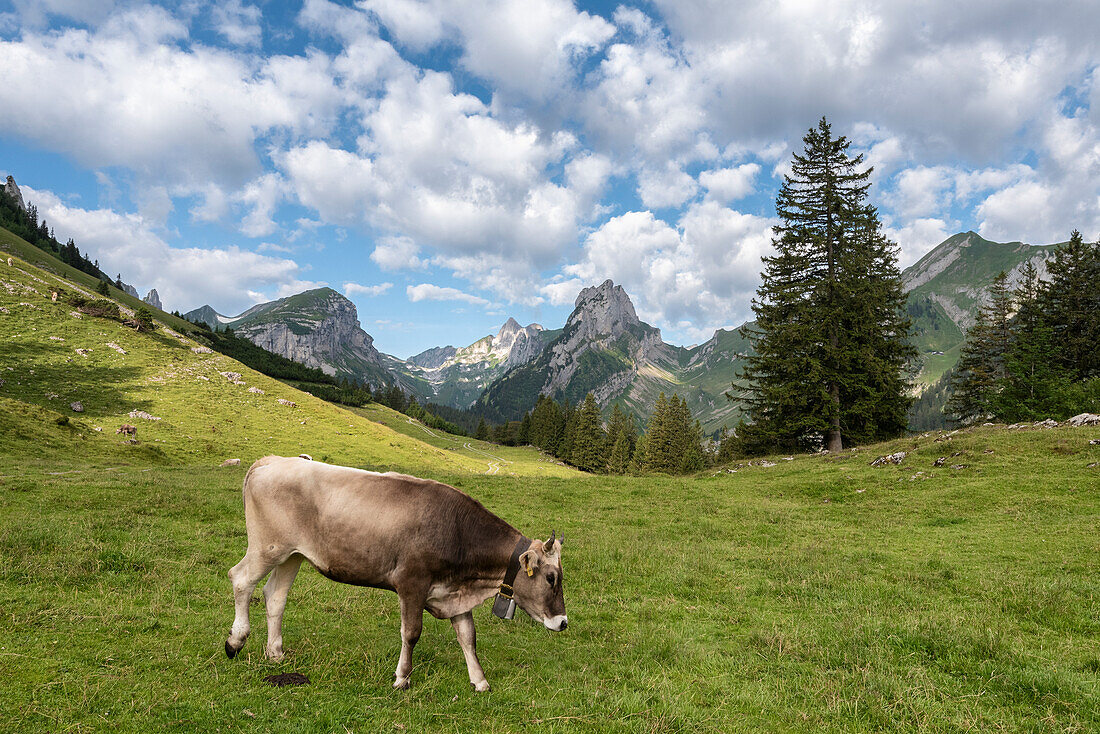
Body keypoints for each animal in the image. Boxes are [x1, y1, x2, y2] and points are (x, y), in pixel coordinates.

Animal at [223, 455, 567, 691]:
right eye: (551, 578)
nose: (563, 622)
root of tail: (272, 460)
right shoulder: (412, 583)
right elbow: (412, 632)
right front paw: (402, 678)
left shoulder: (454, 592)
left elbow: (468, 637)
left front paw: (480, 681)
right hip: (267, 547)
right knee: (240, 579)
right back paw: (235, 642)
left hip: (291, 555)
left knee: (275, 596)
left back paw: (275, 653)